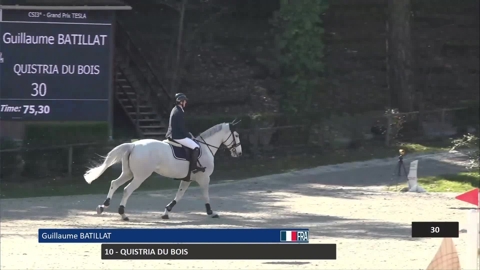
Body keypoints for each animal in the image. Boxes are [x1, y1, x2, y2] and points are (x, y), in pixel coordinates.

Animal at [82, 121, 242, 220]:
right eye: (237, 135)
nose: (239, 153)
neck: (205, 147)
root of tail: (133, 145)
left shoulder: (187, 179)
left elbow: (179, 195)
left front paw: (166, 212)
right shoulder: (203, 178)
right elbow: (206, 195)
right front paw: (211, 212)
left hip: (128, 173)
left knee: (114, 183)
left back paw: (103, 207)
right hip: (140, 176)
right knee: (127, 190)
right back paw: (123, 214)